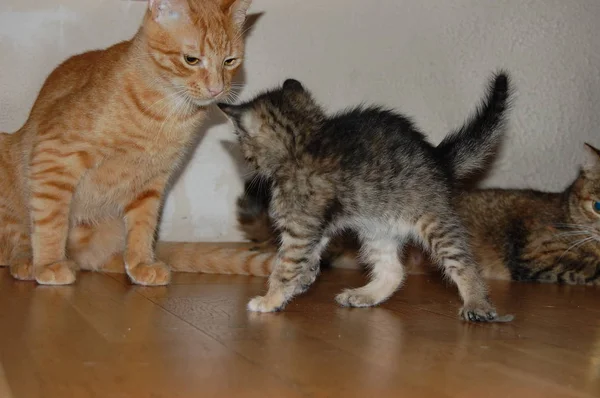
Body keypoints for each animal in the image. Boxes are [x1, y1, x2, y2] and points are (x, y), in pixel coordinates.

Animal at [0, 0, 251, 286]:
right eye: (191, 59)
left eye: (230, 61)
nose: (217, 89)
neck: (167, 112)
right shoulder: (53, 154)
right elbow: (51, 219)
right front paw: (49, 263)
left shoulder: (151, 182)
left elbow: (143, 226)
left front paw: (142, 262)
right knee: (16, 240)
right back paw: (28, 262)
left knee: (94, 260)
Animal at [218, 73, 512, 322]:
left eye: (244, 148)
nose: (248, 161)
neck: (301, 142)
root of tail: (437, 157)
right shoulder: (316, 224)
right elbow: (307, 255)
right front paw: (305, 277)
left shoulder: (300, 226)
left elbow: (284, 266)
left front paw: (270, 299)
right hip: (377, 229)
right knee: (394, 271)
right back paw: (364, 295)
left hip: (434, 220)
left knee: (463, 262)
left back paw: (477, 303)